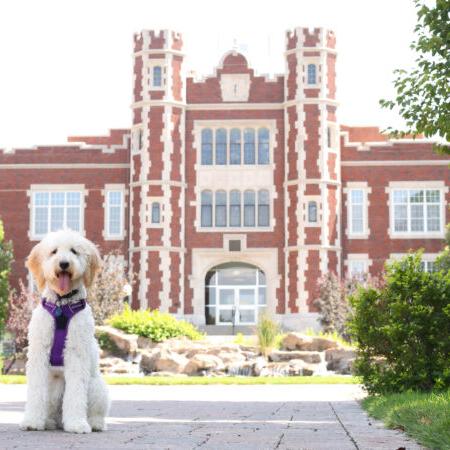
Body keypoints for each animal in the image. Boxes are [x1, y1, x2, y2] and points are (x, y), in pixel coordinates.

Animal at [22, 230, 110, 434]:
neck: (62, 305)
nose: (63, 264)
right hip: (53, 388)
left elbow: (76, 392)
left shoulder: (76, 353)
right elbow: (35, 390)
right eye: (54, 251)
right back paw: (47, 421)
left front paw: (77, 424)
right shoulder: (39, 352)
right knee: (52, 414)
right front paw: (32, 420)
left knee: (95, 411)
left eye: (74, 251)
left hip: (97, 387)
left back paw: (94, 423)